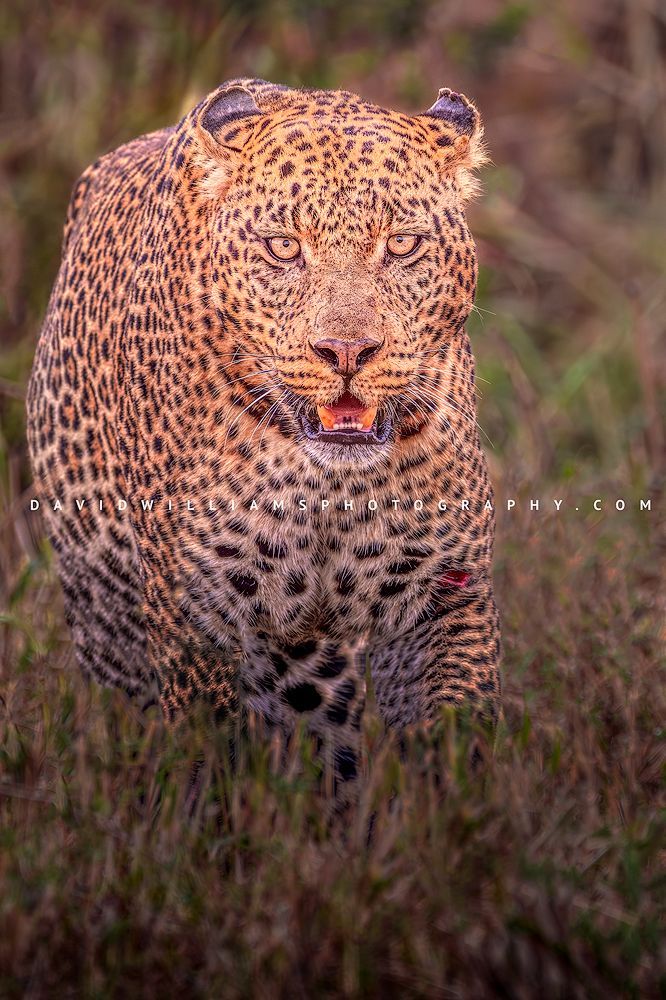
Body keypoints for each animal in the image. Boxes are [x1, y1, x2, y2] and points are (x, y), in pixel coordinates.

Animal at [27, 78, 501, 784]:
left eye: (401, 244)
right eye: (283, 247)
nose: (347, 351)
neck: (329, 486)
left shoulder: (445, 595)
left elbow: (458, 736)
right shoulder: (196, 619)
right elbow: (207, 756)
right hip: (107, 621)